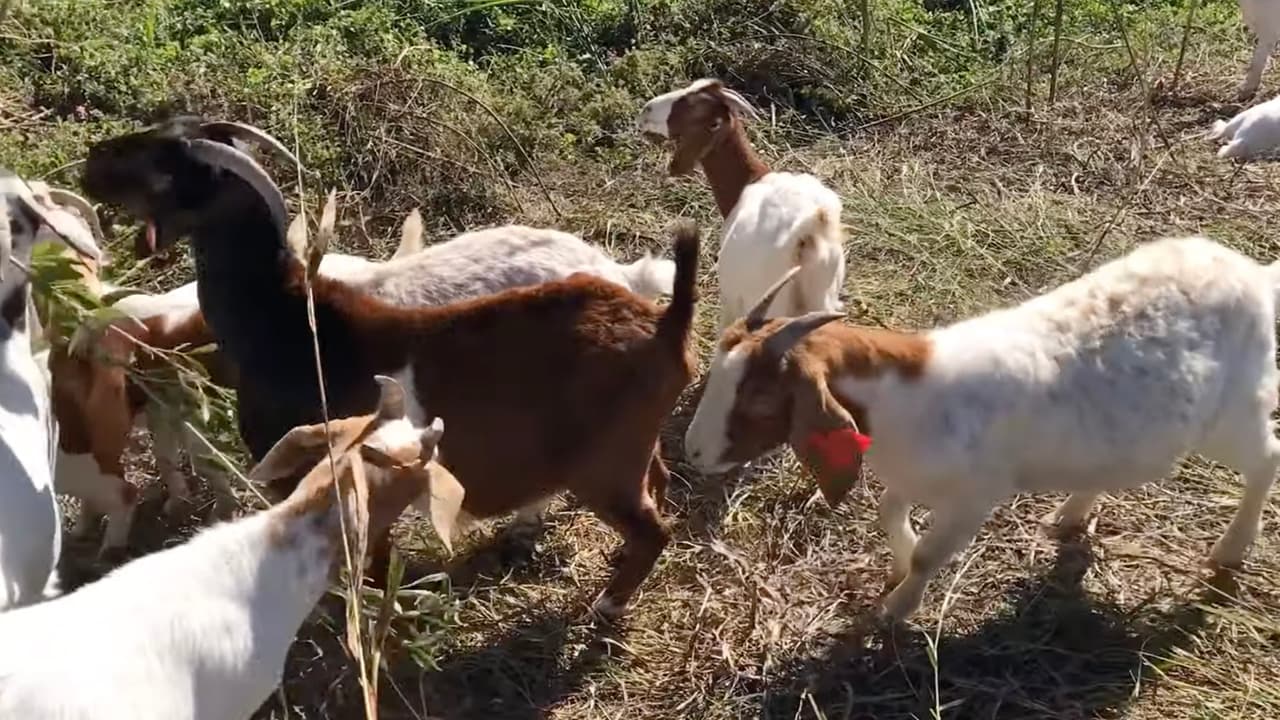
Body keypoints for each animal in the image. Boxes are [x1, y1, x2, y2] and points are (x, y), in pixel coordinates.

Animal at [82, 117, 700, 614]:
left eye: (168, 164)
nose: (91, 162)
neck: (288, 319)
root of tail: (662, 321)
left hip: (604, 464)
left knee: (651, 527)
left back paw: (607, 601)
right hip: (630, 448)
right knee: (660, 482)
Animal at [638, 79, 845, 330]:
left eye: (691, 108)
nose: (646, 110)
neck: (750, 180)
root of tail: (807, 231)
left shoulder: (730, 300)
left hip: (770, 301)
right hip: (823, 299)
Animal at [684, 236, 1280, 621]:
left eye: (761, 396)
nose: (691, 452)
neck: (914, 396)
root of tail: (1254, 274)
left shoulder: (977, 496)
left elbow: (930, 555)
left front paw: (895, 610)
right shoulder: (910, 476)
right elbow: (889, 514)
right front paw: (896, 567)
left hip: (1233, 412)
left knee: (1267, 458)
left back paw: (1231, 550)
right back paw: (1071, 514)